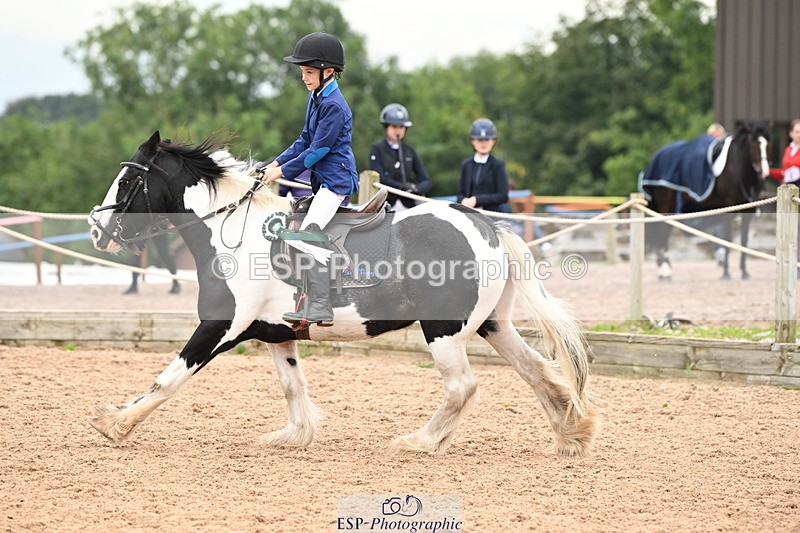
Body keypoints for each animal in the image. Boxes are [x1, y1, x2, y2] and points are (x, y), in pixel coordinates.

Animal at [87, 131, 599, 457]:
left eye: (128, 181)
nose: (96, 229)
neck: (232, 233)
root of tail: (488, 226)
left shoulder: (221, 326)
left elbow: (170, 378)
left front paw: (114, 422)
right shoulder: (276, 334)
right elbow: (292, 386)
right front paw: (292, 437)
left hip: (444, 330)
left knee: (463, 387)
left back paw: (419, 442)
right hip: (494, 325)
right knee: (538, 372)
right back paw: (570, 434)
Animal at [639, 122, 771, 280]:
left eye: (768, 144)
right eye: (753, 145)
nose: (764, 172)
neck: (737, 170)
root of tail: (656, 158)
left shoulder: (748, 211)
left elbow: (744, 241)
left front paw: (744, 271)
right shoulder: (729, 210)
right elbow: (727, 238)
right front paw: (726, 272)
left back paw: (664, 266)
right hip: (666, 204)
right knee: (663, 231)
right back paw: (665, 270)